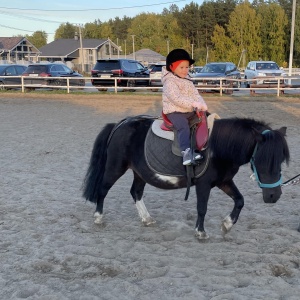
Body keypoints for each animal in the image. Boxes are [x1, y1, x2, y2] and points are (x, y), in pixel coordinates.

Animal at [83, 116, 290, 240]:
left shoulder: (224, 181)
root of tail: (120, 124)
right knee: (103, 189)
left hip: (140, 172)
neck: (219, 147)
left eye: (281, 160)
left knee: (136, 192)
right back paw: (98, 217)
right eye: (262, 160)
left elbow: (240, 200)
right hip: (115, 167)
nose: (274, 196)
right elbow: (202, 208)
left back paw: (146, 218)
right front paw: (200, 232)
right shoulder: (203, 184)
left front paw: (227, 225)